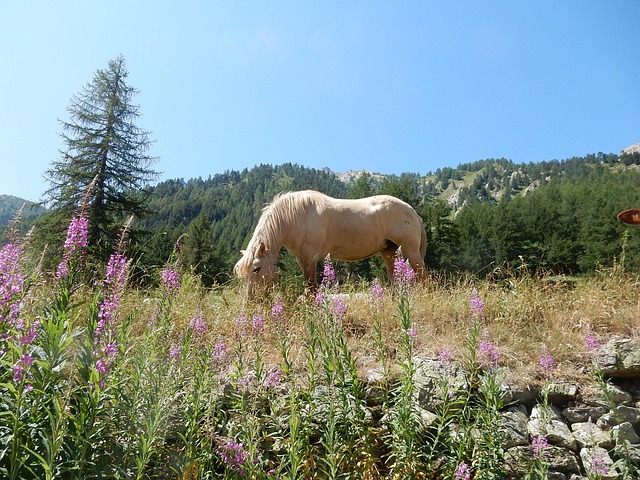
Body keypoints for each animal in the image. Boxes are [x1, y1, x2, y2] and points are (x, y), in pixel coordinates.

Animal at [234, 190, 427, 295]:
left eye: (256, 269)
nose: (250, 300)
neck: (294, 215)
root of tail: (412, 212)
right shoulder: (301, 258)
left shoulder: (310, 257)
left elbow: (311, 285)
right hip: (388, 252)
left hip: (410, 251)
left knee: (423, 278)